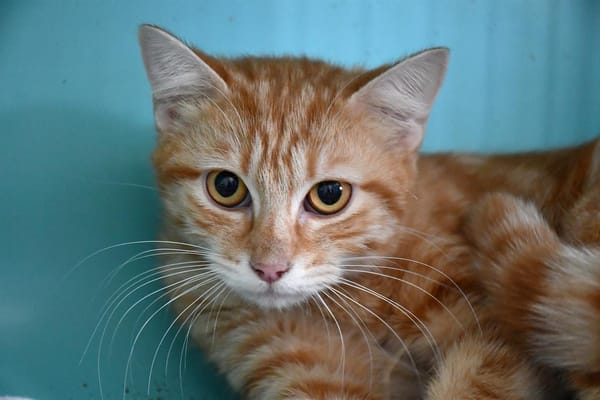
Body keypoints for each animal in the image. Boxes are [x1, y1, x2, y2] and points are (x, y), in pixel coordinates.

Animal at [137, 24, 600, 399]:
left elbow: (479, 382)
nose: (270, 269)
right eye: (227, 187)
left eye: (329, 194)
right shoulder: (306, 372)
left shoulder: (496, 329)